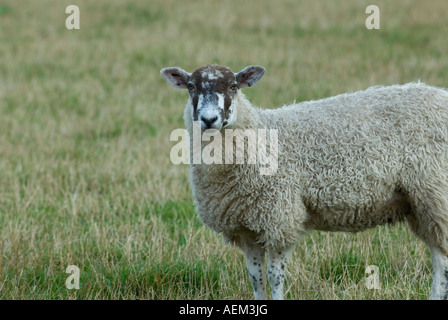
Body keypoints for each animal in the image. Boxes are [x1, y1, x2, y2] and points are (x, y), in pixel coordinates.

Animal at [161, 63, 448, 300]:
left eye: (233, 86)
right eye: (191, 87)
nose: (209, 119)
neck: (261, 135)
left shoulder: (280, 217)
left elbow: (275, 276)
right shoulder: (246, 227)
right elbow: (256, 277)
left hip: (436, 192)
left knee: (442, 262)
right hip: (421, 203)